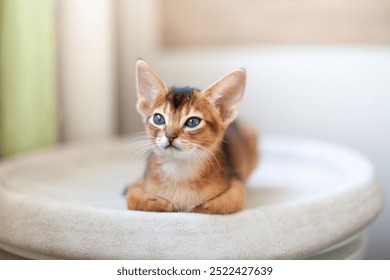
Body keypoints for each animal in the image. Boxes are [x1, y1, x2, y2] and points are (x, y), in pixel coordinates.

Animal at [126, 59, 258, 214]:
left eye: (193, 122)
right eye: (158, 119)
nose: (170, 136)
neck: (180, 173)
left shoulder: (237, 187)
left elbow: (221, 204)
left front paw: (195, 206)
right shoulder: (138, 186)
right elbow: (133, 200)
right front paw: (163, 204)